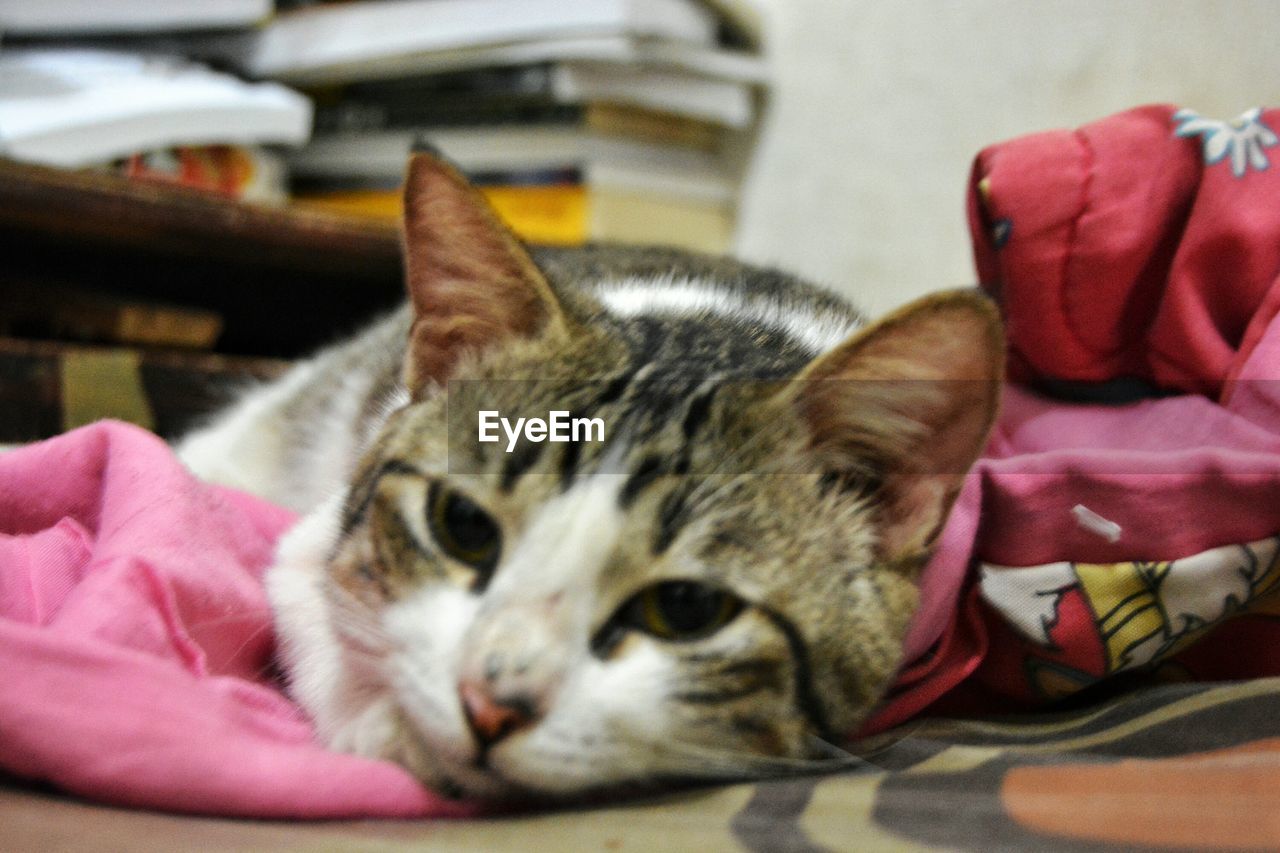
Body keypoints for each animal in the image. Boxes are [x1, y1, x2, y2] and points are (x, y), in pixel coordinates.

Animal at [177, 153, 998, 799]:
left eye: (686, 608)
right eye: (463, 525)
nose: (490, 704)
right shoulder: (311, 537)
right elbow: (315, 596)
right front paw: (384, 720)